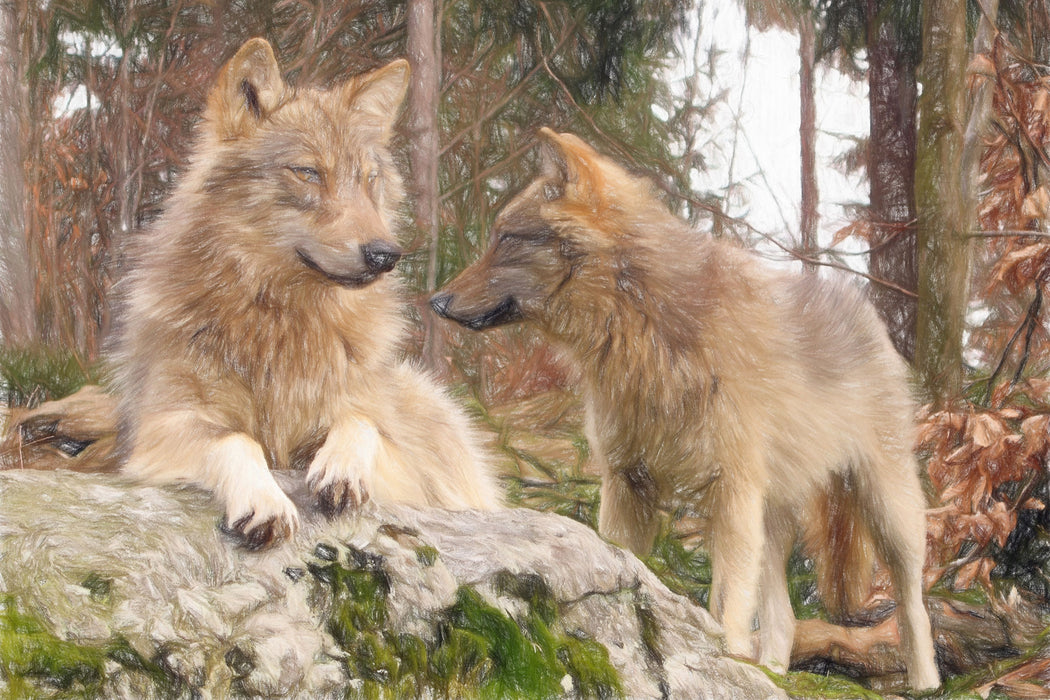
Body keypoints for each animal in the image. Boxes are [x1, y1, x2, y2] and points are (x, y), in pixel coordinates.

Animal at [108, 39, 501, 554]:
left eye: (369, 178)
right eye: (308, 172)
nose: (386, 254)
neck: (283, 319)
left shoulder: (407, 467)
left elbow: (361, 423)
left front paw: (341, 470)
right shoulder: (161, 428)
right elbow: (236, 441)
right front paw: (265, 501)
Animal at [430, 130, 940, 688]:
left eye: (506, 238)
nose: (435, 300)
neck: (644, 330)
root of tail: (862, 304)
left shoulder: (730, 493)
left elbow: (726, 606)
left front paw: (726, 663)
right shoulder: (627, 482)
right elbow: (627, 567)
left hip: (886, 510)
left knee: (913, 606)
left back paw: (926, 683)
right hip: (773, 522)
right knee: (782, 620)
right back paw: (771, 674)